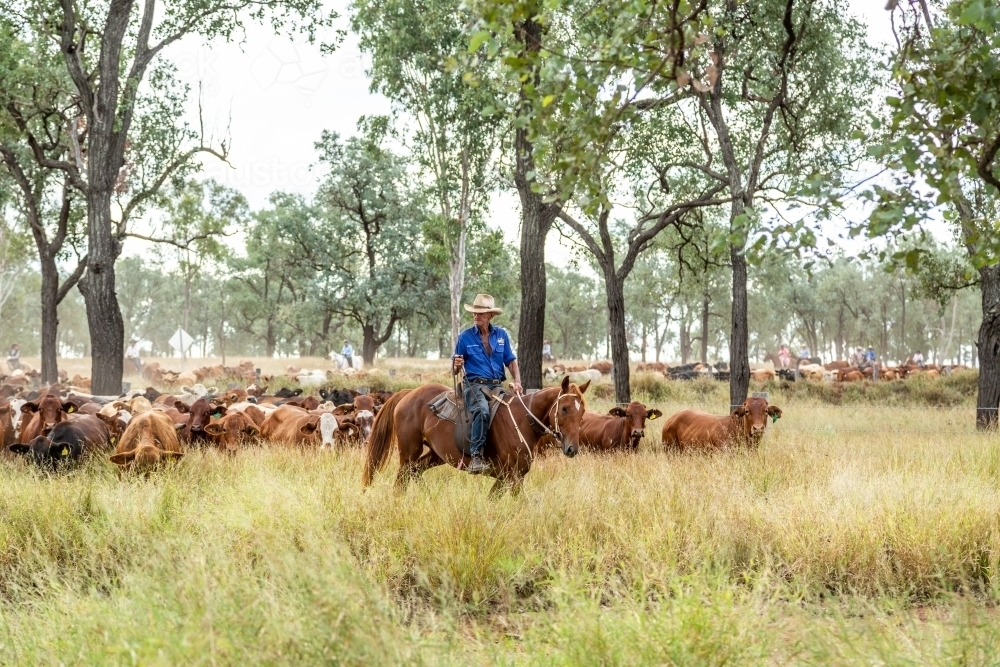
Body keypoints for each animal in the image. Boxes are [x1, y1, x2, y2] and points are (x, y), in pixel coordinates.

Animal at [364, 378, 588, 494]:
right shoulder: (513, 477)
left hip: (436, 455)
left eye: (582, 411)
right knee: (402, 479)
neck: (522, 420)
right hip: (409, 452)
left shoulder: (506, 478)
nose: (572, 448)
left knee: (415, 471)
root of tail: (409, 393)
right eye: (564, 408)